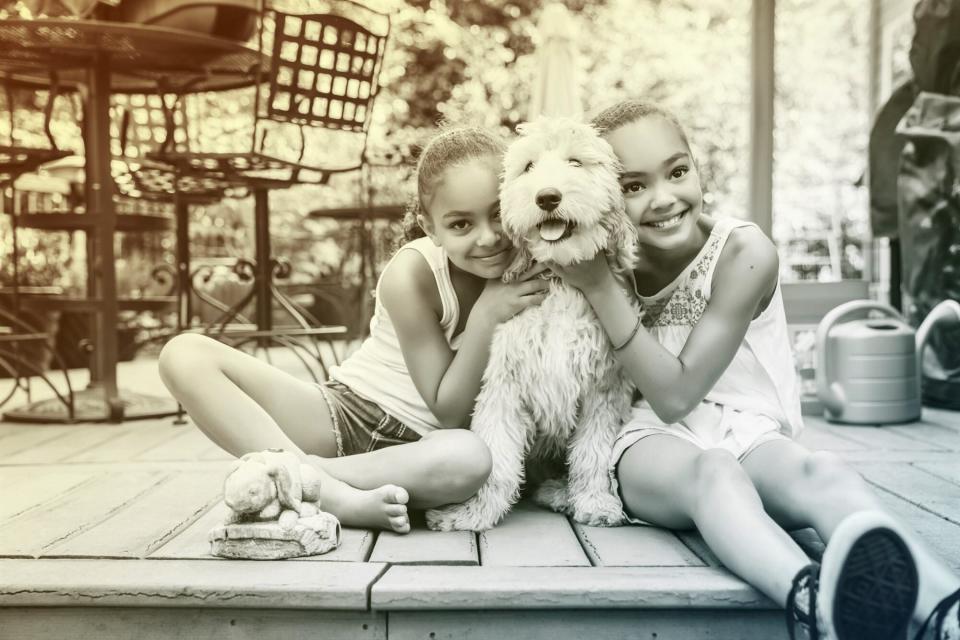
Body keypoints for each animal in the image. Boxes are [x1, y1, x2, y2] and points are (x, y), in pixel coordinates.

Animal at [428, 117, 636, 532]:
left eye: (576, 162)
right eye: (528, 167)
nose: (547, 197)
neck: (558, 281)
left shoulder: (603, 388)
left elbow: (592, 452)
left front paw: (595, 502)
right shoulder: (504, 386)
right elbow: (496, 462)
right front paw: (472, 513)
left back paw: (562, 493)